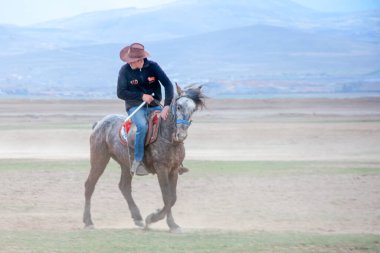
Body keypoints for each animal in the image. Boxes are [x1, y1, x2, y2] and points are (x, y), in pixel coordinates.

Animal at [82, 84, 205, 231]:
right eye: (179, 106)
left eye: (193, 109)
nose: (181, 135)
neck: (167, 136)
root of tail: (99, 124)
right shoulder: (161, 169)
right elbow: (167, 196)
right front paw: (153, 218)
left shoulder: (174, 170)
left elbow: (173, 197)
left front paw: (171, 224)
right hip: (99, 159)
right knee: (89, 185)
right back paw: (88, 221)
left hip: (126, 165)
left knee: (124, 187)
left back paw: (138, 218)